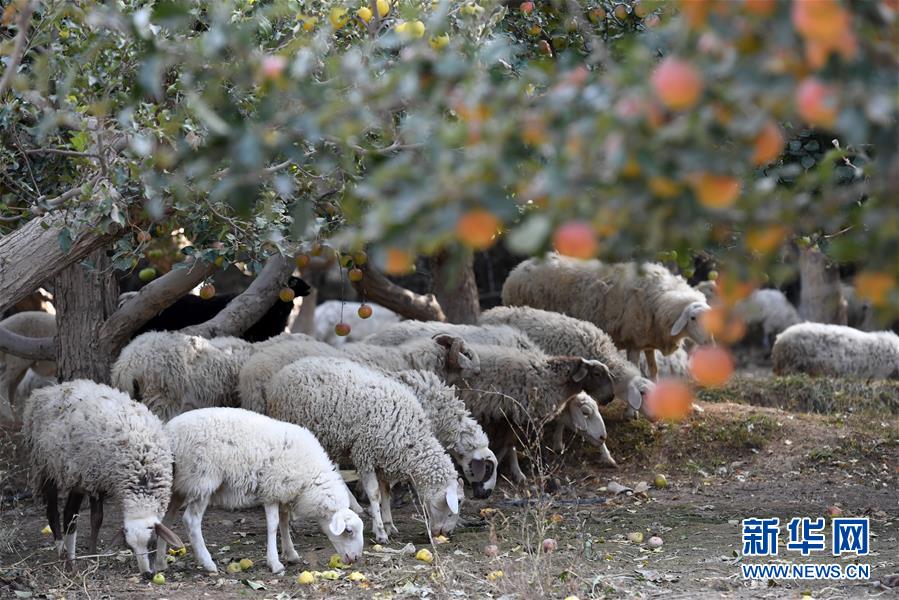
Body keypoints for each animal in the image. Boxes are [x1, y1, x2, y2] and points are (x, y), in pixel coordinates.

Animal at [22, 380, 183, 577]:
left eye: (152, 542)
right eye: (130, 547)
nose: (147, 574)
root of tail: (45, 391)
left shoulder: (94, 480)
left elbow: (91, 519)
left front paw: (91, 556)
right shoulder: (95, 480)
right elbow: (96, 519)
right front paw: (92, 556)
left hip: (76, 475)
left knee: (70, 516)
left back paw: (71, 561)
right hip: (46, 466)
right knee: (53, 512)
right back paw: (62, 554)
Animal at [155, 408, 364, 574]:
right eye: (349, 531)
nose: (355, 559)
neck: (310, 478)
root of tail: (170, 434)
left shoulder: (282, 492)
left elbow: (284, 522)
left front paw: (290, 553)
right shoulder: (271, 489)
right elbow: (273, 525)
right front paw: (275, 563)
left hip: (178, 485)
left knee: (165, 520)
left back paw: (160, 563)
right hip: (202, 479)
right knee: (191, 520)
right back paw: (207, 563)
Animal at [266, 357, 464, 544]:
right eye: (458, 502)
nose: (448, 533)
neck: (411, 438)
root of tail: (288, 368)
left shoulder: (384, 458)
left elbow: (386, 491)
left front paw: (389, 524)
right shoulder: (365, 454)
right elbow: (374, 493)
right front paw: (381, 532)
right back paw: (292, 522)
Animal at [457, 343, 615, 483]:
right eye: (597, 373)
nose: (610, 398)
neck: (551, 377)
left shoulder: (512, 417)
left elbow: (508, 444)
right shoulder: (530, 416)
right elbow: (537, 445)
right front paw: (543, 470)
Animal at [502, 254, 712, 379]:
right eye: (693, 318)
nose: (710, 342)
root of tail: (516, 270)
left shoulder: (647, 342)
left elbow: (653, 371)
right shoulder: (633, 342)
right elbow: (636, 369)